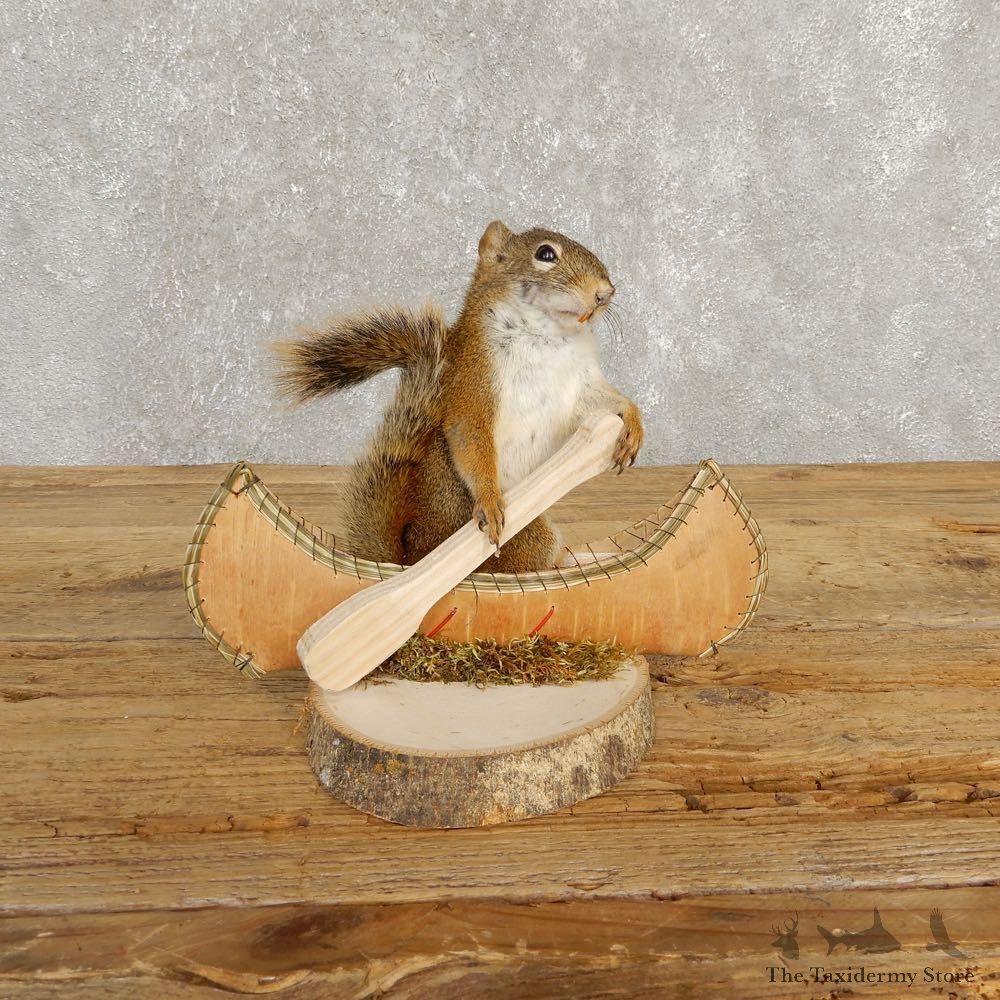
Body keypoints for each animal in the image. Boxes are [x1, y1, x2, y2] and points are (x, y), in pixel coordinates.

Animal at [274, 220, 644, 573]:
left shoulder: (580, 382)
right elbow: (470, 435)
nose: (605, 293)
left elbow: (602, 401)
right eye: (546, 254)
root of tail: (411, 557)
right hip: (528, 536)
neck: (550, 335)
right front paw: (490, 501)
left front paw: (633, 425)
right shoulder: (473, 377)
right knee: (534, 561)